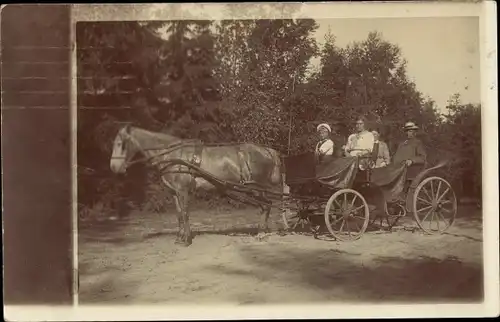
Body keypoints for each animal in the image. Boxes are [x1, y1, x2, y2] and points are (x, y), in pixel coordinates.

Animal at [109, 124, 284, 245]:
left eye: (120, 144)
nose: (113, 167)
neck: (173, 157)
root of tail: (268, 151)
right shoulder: (174, 192)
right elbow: (179, 214)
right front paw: (180, 238)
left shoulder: (183, 190)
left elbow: (186, 213)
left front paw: (186, 239)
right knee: (265, 206)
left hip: (256, 188)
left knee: (267, 205)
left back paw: (261, 232)